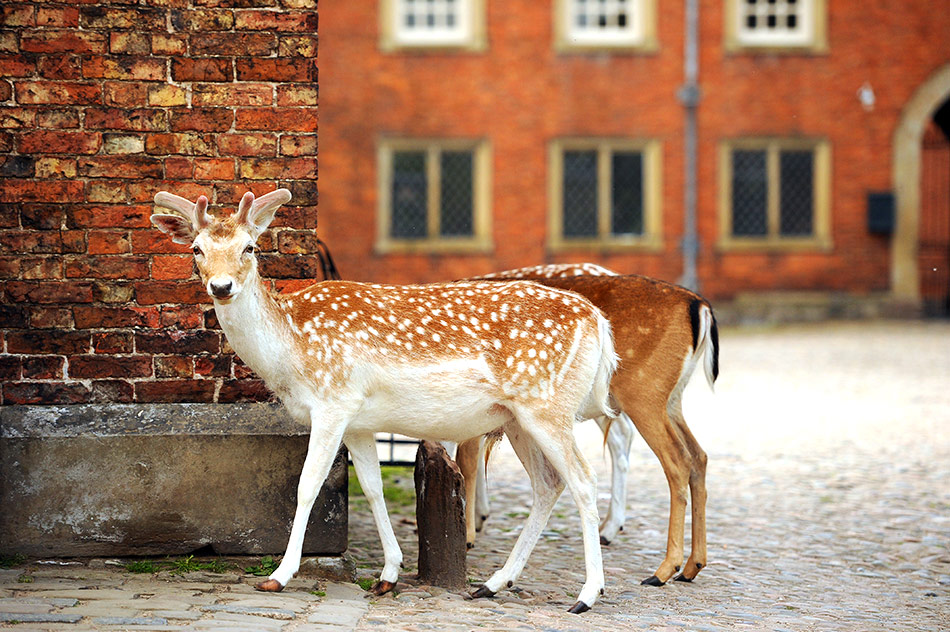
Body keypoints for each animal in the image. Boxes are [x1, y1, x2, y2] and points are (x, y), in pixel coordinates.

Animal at [150, 189, 620, 612]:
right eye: (196, 248)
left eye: (249, 246)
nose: (221, 285)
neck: (291, 352)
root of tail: (599, 323)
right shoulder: (359, 421)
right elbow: (372, 487)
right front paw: (388, 575)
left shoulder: (333, 401)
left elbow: (307, 485)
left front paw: (278, 576)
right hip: (516, 418)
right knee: (548, 484)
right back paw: (492, 584)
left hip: (548, 406)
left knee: (583, 480)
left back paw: (587, 595)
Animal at [458, 262, 716, 584]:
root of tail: (699, 305)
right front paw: (478, 519)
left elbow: (466, 460)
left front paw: (468, 535)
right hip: (672, 398)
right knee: (698, 455)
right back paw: (692, 565)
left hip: (644, 393)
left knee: (676, 459)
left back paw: (662, 569)